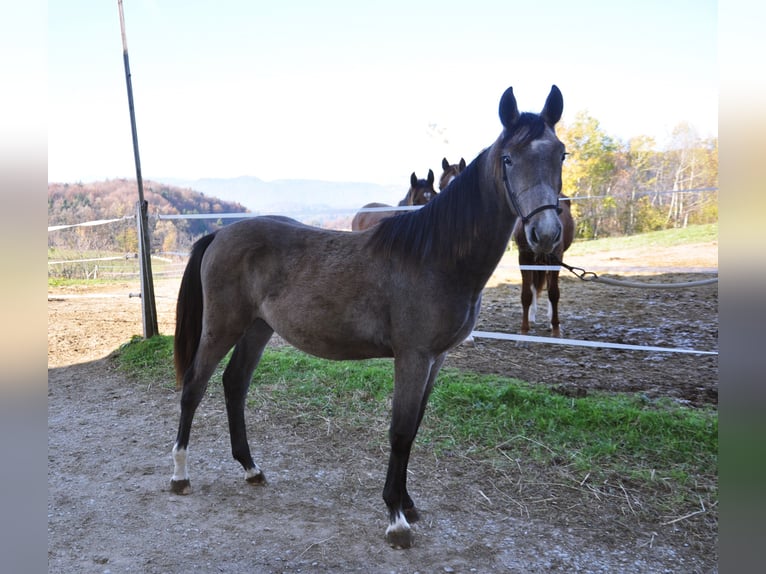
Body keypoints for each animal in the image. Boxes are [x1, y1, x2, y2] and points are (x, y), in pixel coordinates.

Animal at [512, 194, 572, 338]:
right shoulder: (524, 258)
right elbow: (526, 294)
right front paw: (525, 328)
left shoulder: (556, 259)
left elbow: (554, 293)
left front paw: (556, 328)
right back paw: (532, 316)